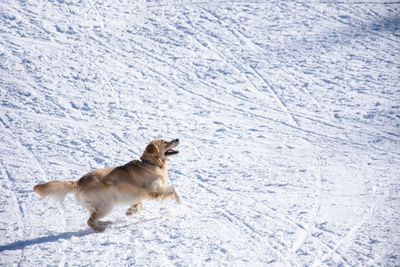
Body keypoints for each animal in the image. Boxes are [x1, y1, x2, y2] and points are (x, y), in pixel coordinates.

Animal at [33, 139, 182, 231]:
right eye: (165, 142)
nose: (177, 139)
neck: (151, 163)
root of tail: (79, 181)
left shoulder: (138, 194)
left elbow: (139, 204)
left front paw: (131, 211)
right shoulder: (155, 190)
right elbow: (174, 188)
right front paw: (180, 201)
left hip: (99, 206)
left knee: (93, 218)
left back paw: (106, 223)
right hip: (107, 205)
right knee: (90, 221)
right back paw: (101, 229)